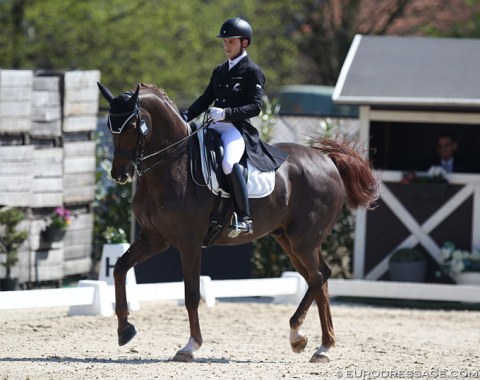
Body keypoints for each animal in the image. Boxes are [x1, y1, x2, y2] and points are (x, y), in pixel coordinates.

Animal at [97, 82, 378, 362]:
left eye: (133, 126)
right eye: (111, 126)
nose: (120, 174)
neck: (172, 166)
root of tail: (328, 161)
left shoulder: (188, 243)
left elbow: (191, 294)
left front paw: (190, 346)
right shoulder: (154, 238)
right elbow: (119, 268)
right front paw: (124, 329)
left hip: (303, 241)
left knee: (318, 277)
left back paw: (298, 334)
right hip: (289, 240)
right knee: (319, 278)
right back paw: (322, 346)